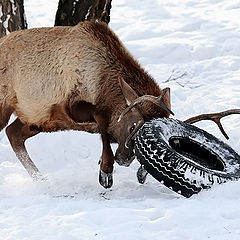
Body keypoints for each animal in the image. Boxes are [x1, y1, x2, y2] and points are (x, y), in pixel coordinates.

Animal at [0, 20, 173, 188]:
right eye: (132, 126)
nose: (124, 160)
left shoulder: (51, 117)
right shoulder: (69, 106)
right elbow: (102, 123)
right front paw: (105, 171)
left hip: (36, 120)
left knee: (13, 133)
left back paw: (41, 180)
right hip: (8, 107)